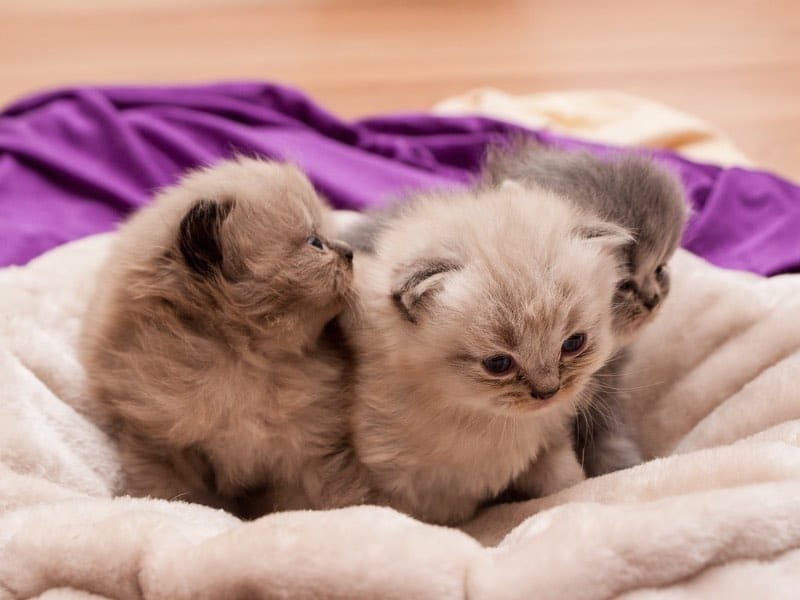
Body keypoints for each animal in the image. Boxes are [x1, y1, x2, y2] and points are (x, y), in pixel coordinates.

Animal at [81, 156, 368, 516]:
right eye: (315, 242)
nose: (350, 252)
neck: (242, 360)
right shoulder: (161, 444)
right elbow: (176, 497)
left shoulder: (310, 453)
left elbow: (329, 501)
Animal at [346, 180, 636, 524]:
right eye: (499, 364)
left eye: (573, 343)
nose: (548, 392)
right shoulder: (394, 483)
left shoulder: (548, 442)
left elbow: (565, 481)